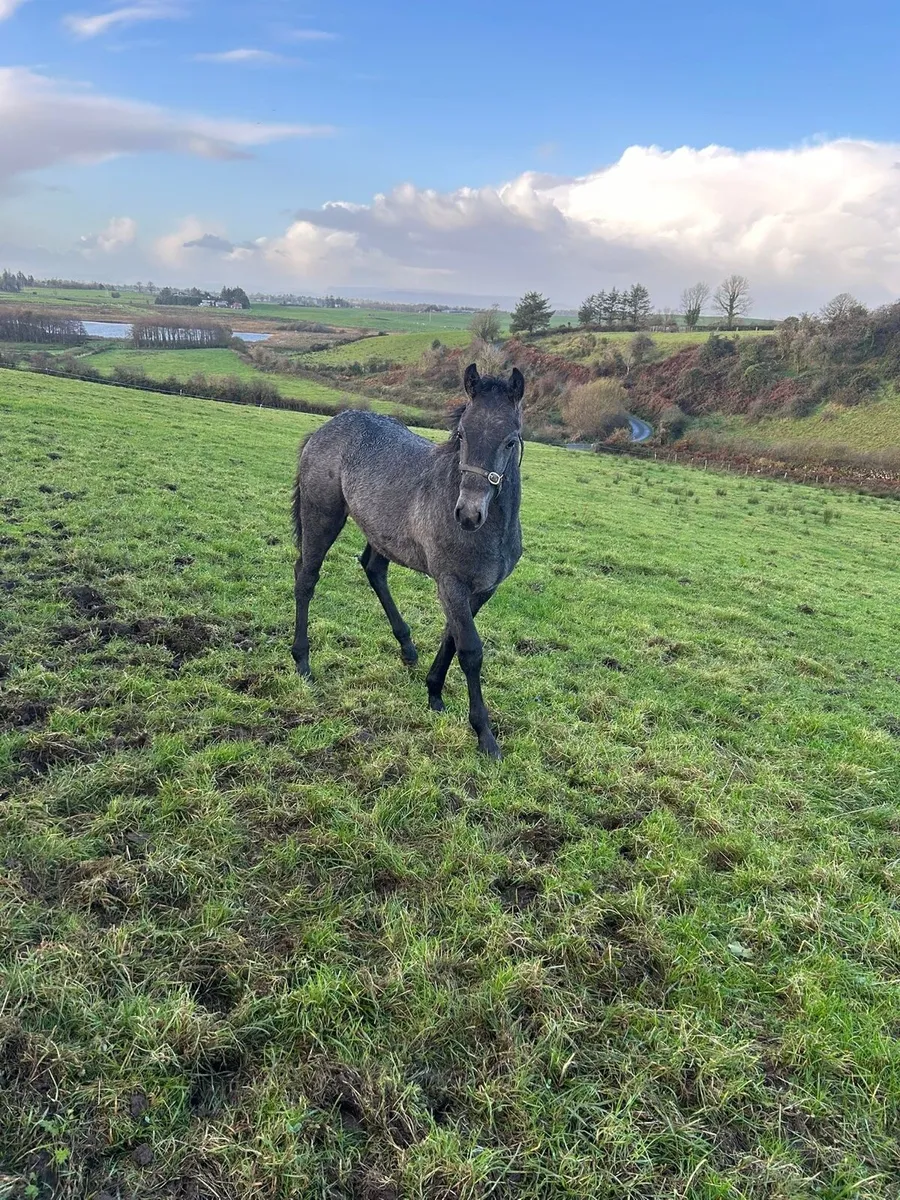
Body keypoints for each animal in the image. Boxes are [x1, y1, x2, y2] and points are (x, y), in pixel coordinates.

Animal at [290, 363, 525, 758]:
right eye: (462, 434)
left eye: (510, 440)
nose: (468, 514)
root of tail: (327, 427)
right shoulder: (450, 584)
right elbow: (470, 650)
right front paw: (485, 735)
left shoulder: (480, 590)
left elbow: (451, 639)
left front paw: (434, 693)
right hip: (322, 515)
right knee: (306, 576)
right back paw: (303, 662)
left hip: (380, 533)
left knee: (372, 568)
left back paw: (407, 647)